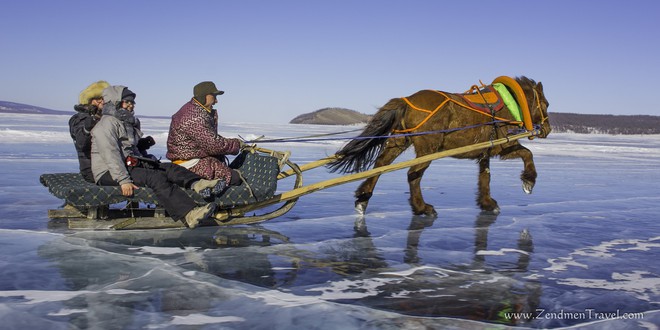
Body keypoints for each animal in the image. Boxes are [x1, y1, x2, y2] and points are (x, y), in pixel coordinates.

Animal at [328, 76, 552, 218]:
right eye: (546, 104)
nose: (547, 129)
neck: (510, 103)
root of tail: (406, 101)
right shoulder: (503, 145)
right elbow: (527, 154)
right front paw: (529, 181)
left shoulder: (485, 151)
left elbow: (485, 177)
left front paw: (487, 203)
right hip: (428, 147)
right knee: (412, 174)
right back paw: (422, 208)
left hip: (399, 141)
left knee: (381, 164)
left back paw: (363, 199)